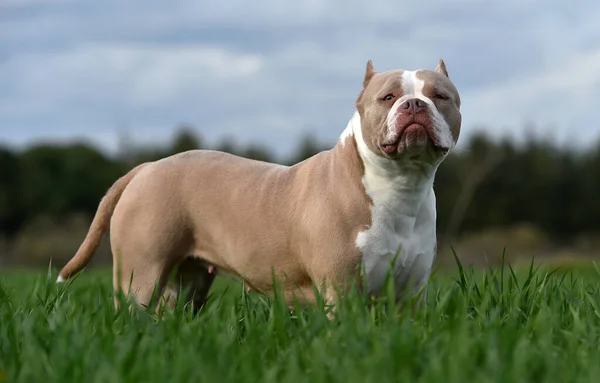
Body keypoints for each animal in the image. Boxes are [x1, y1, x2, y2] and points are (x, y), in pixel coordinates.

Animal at [57, 58, 460, 314]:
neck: (400, 185)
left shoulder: (411, 296)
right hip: (140, 276)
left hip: (186, 284)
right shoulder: (342, 290)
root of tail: (145, 169)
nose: (414, 104)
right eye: (388, 97)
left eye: (440, 96)